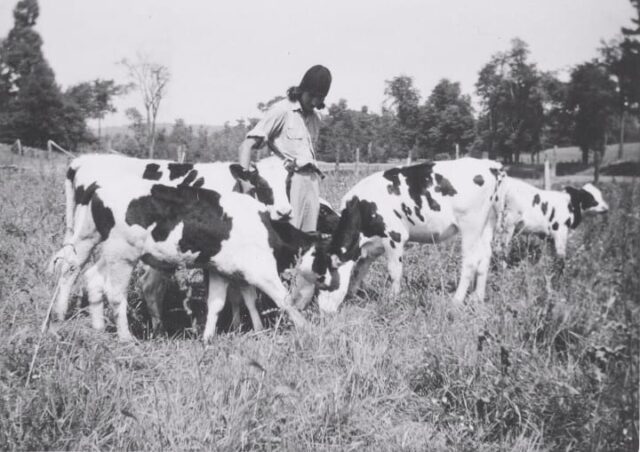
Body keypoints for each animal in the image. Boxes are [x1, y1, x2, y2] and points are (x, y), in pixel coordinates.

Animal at [63, 178, 336, 340]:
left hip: (101, 248)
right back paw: (126, 338)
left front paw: (214, 337)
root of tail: (99, 186)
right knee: (115, 293)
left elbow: (225, 302)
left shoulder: (223, 270)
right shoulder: (262, 271)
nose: (332, 283)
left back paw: (98, 329)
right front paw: (309, 330)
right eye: (326, 259)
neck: (267, 226)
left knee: (91, 278)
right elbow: (284, 300)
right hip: (122, 255)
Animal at [308, 157, 508, 312]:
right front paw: (352, 296)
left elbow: (394, 271)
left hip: (471, 224)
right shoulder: (371, 247)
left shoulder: (394, 236)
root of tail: (490, 166)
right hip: (488, 223)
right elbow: (358, 271)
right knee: (485, 257)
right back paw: (477, 299)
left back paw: (456, 301)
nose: (322, 310)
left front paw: (391, 300)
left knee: (471, 261)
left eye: (323, 282)